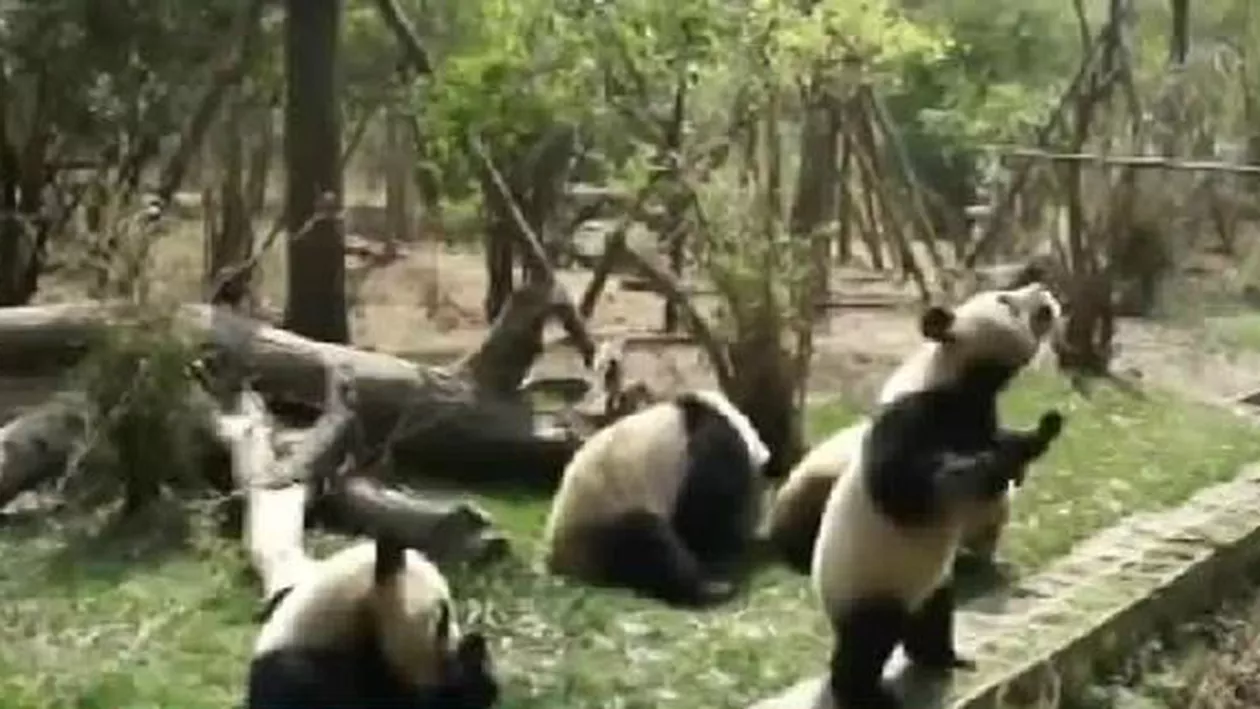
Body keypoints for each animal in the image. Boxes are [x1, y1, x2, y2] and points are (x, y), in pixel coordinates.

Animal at [542, 389, 771, 607]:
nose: (751, 528)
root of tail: (559, 562)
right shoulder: (711, 450)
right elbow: (703, 513)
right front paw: (719, 553)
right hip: (602, 522)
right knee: (647, 544)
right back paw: (710, 590)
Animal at [812, 282, 1067, 709]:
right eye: (1004, 300)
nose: (1042, 288)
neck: (960, 376)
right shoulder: (913, 413)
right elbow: (903, 487)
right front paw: (989, 463)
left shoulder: (979, 414)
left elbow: (1000, 453)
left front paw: (1038, 434)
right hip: (867, 582)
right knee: (866, 643)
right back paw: (866, 693)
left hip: (929, 582)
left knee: (933, 617)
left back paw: (943, 657)